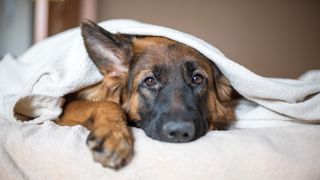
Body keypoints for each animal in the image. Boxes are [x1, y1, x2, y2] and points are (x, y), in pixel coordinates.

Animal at [55, 20, 235, 169]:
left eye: (197, 79)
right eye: (149, 81)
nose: (179, 132)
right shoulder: (64, 108)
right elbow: (109, 104)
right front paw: (113, 135)